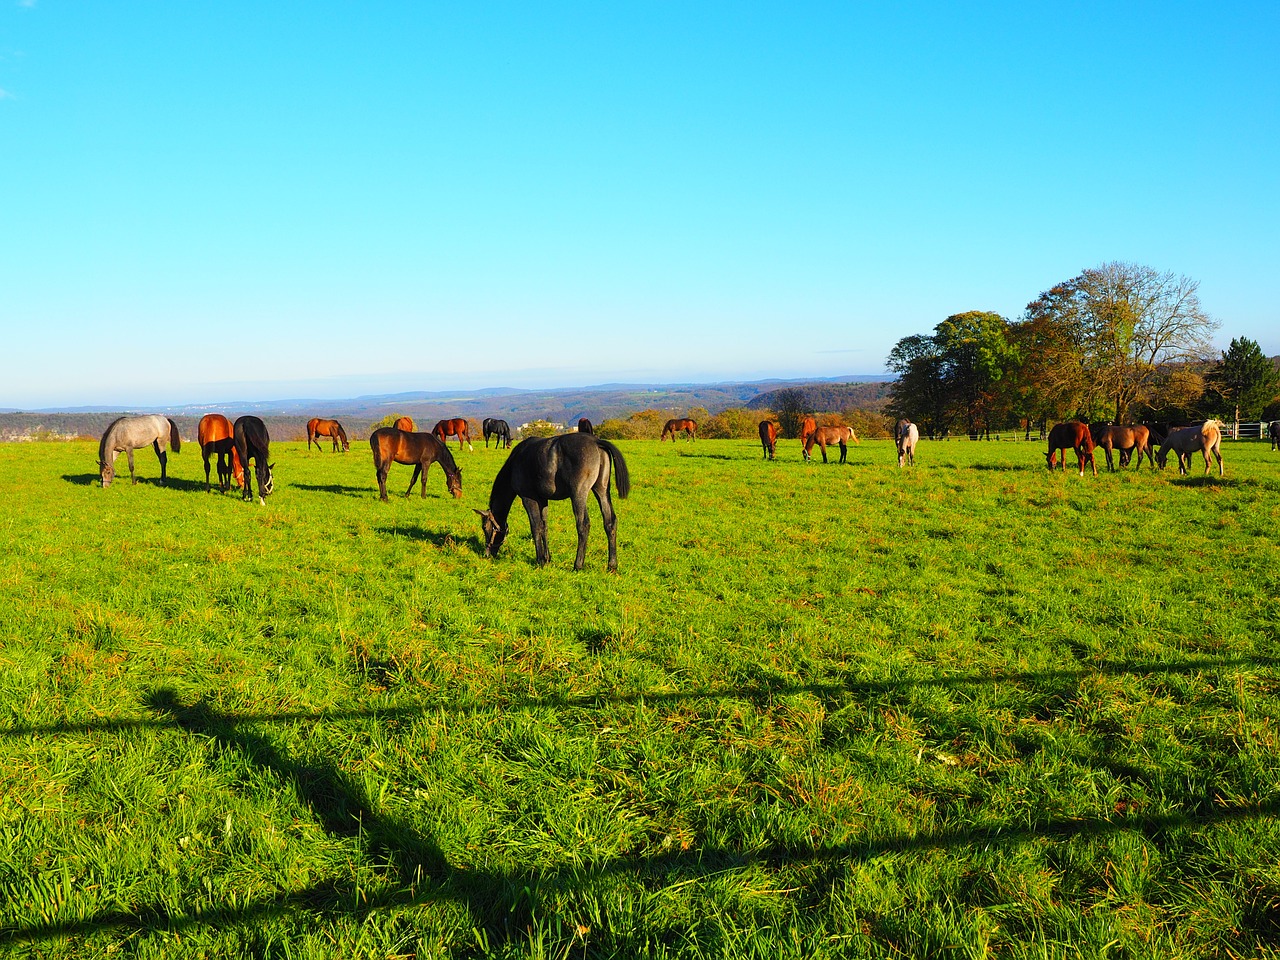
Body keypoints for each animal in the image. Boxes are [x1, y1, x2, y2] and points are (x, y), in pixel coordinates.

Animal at [476, 435, 629, 570]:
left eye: (485, 527)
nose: (487, 554)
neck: (515, 462)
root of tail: (596, 441)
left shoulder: (529, 499)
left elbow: (536, 526)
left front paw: (540, 561)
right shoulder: (542, 500)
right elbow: (544, 527)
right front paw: (547, 558)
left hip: (578, 494)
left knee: (583, 525)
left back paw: (578, 565)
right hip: (602, 491)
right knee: (610, 522)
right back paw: (612, 565)